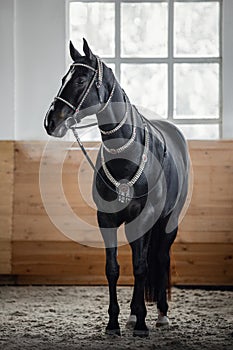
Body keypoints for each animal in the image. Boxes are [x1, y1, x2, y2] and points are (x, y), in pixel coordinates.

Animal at [44, 39, 190, 338]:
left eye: (81, 79)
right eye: (64, 78)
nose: (51, 121)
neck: (126, 154)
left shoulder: (145, 219)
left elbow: (141, 267)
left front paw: (143, 323)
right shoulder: (106, 219)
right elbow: (113, 269)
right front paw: (114, 323)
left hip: (168, 221)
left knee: (160, 258)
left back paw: (160, 315)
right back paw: (134, 315)